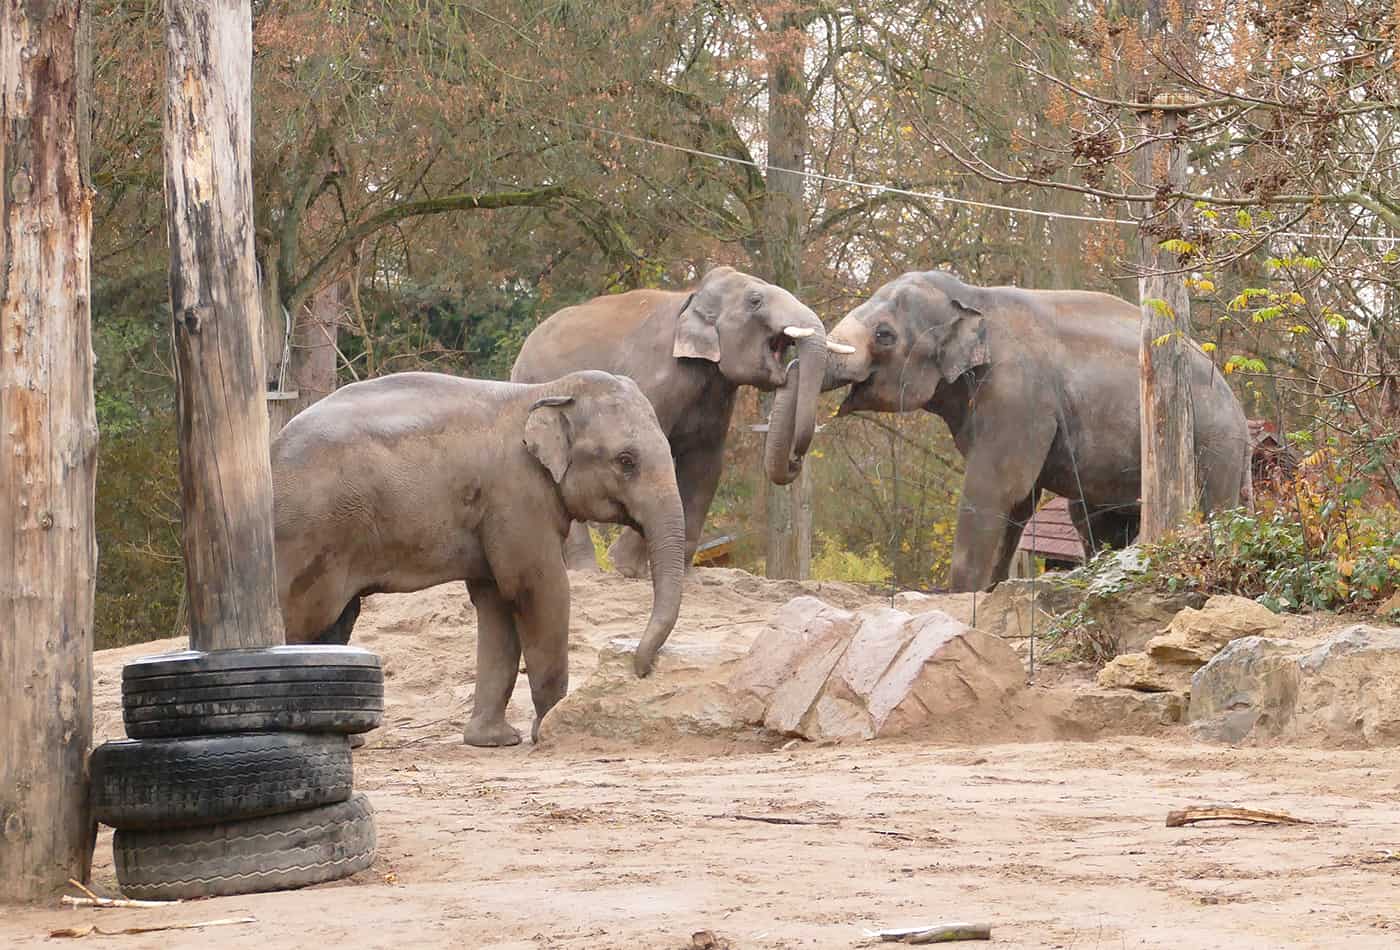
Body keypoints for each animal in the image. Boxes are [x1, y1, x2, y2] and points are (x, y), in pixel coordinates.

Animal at [270, 366, 686, 744]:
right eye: (626, 461)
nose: (642, 668)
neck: (546, 391)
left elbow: (496, 601)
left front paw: (493, 740)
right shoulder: (516, 495)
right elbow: (537, 589)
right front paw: (549, 730)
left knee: (337, 621)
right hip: (308, 535)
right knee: (303, 616)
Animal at [512, 267, 845, 576]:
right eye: (755, 301)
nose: (795, 460)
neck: (691, 298)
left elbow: (706, 466)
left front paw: (680, 574)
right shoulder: (655, 381)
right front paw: (624, 568)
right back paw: (586, 570)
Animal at [817, 270, 1254, 593]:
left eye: (884, 335)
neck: (972, 296)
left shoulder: (1018, 393)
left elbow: (996, 486)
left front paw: (960, 596)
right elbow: (1018, 499)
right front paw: (989, 590)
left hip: (1215, 441)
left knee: (1213, 506)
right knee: (1092, 517)